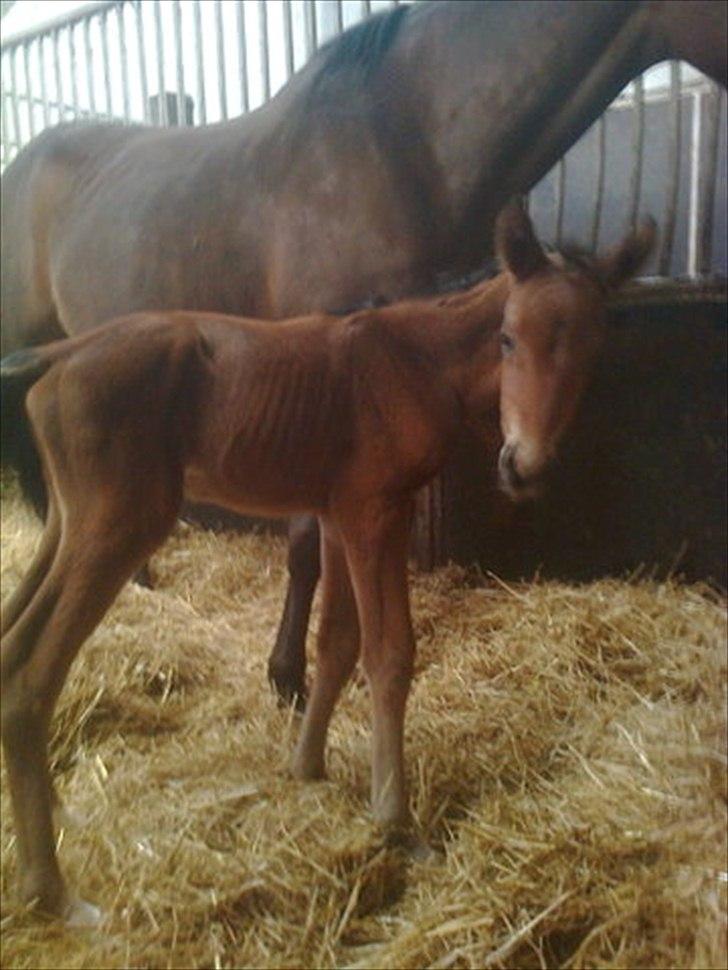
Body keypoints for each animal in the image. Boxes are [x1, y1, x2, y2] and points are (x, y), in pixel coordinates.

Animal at [0, 206, 656, 924]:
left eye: (592, 353)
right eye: (508, 339)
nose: (524, 466)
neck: (414, 360)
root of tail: (59, 355)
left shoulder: (340, 517)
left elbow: (336, 642)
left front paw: (307, 767)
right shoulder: (376, 513)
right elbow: (388, 653)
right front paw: (395, 821)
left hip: (69, 523)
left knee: (11, 643)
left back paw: (57, 815)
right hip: (119, 527)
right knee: (33, 675)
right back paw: (53, 892)